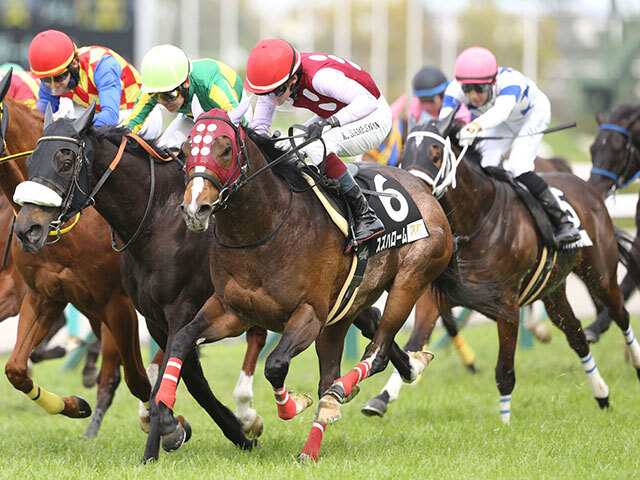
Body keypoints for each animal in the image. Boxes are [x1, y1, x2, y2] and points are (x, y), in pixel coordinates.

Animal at [398, 112, 640, 424]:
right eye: (405, 152)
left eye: (436, 154)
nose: (413, 194)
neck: (478, 219)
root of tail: (588, 187)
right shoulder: (438, 297)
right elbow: (414, 342)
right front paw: (380, 400)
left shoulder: (508, 306)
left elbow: (504, 372)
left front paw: (504, 424)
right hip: (553, 291)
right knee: (576, 335)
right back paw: (602, 394)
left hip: (601, 276)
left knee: (621, 314)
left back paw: (635, 364)